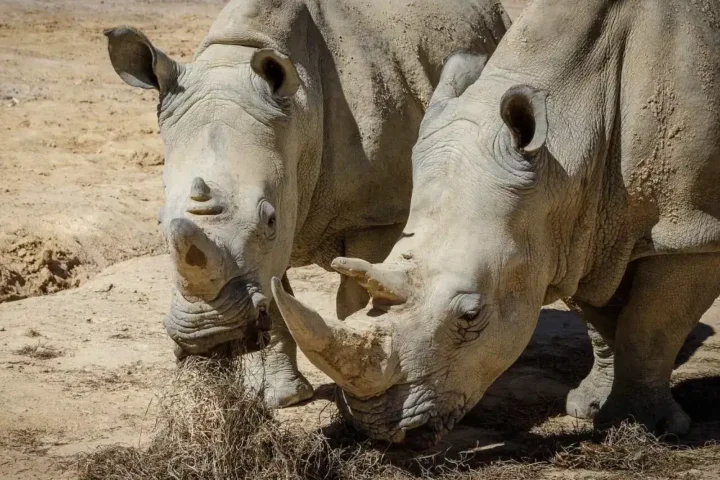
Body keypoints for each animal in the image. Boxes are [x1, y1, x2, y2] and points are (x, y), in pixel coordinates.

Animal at [104, 0, 510, 407]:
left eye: (268, 219)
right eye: (159, 222)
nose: (210, 337)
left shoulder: (377, 215)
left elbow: (363, 289)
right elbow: (274, 294)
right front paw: (282, 398)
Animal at [272, 0, 720, 445]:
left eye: (471, 316)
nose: (378, 428)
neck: (569, 145)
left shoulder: (690, 231)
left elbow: (649, 326)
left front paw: (641, 427)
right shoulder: (578, 229)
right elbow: (604, 322)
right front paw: (591, 408)